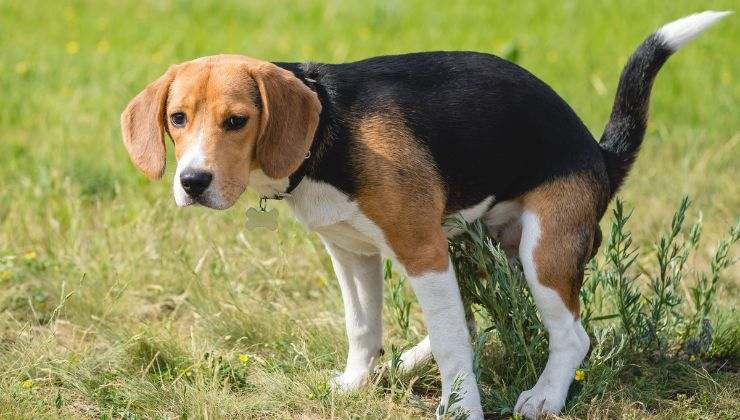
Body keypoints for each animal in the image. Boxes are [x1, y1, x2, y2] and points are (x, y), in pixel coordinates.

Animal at [121, 11, 728, 418]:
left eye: (237, 122)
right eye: (177, 118)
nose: (192, 182)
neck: (327, 130)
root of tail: (600, 154)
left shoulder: (421, 249)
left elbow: (455, 341)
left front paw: (460, 408)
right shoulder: (351, 253)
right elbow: (363, 326)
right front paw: (357, 382)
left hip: (541, 251)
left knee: (570, 336)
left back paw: (544, 397)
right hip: (476, 248)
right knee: (471, 319)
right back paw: (410, 361)